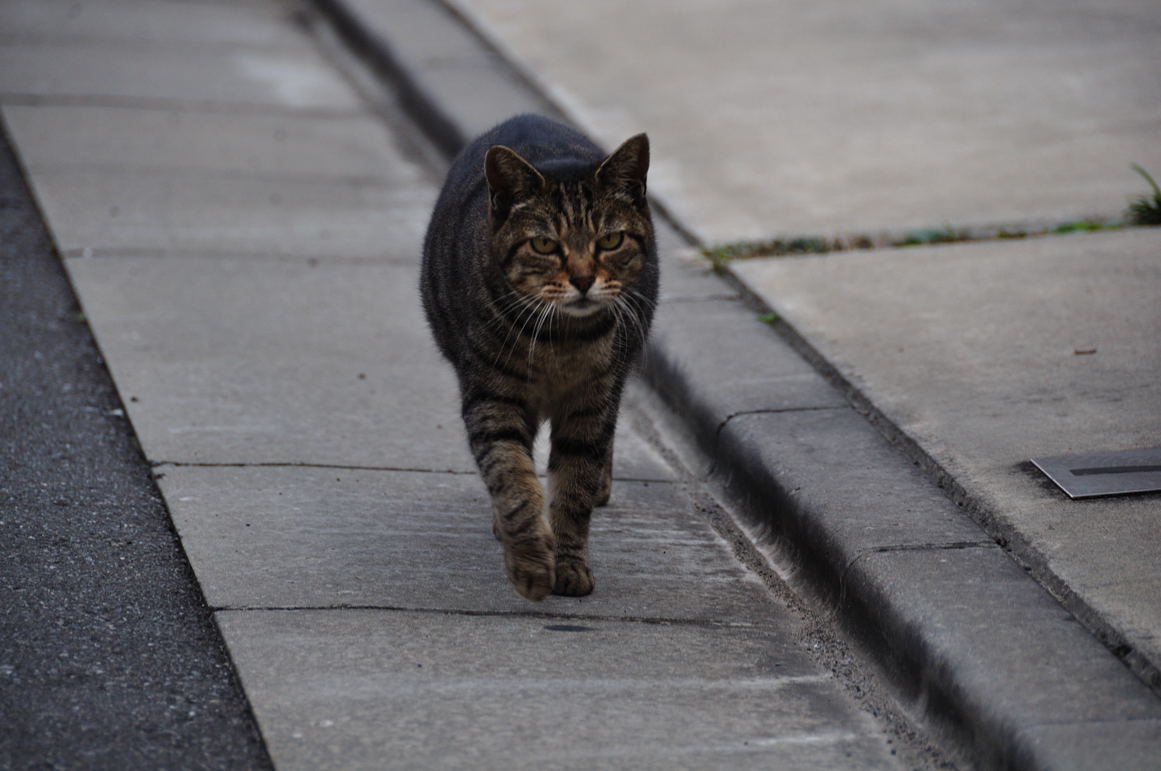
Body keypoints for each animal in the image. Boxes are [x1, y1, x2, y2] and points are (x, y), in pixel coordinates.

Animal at [424, 114, 664, 603]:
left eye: (611, 240)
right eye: (544, 246)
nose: (584, 279)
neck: (562, 342)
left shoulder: (592, 404)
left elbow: (573, 487)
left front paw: (569, 564)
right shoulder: (493, 400)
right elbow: (514, 481)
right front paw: (531, 563)